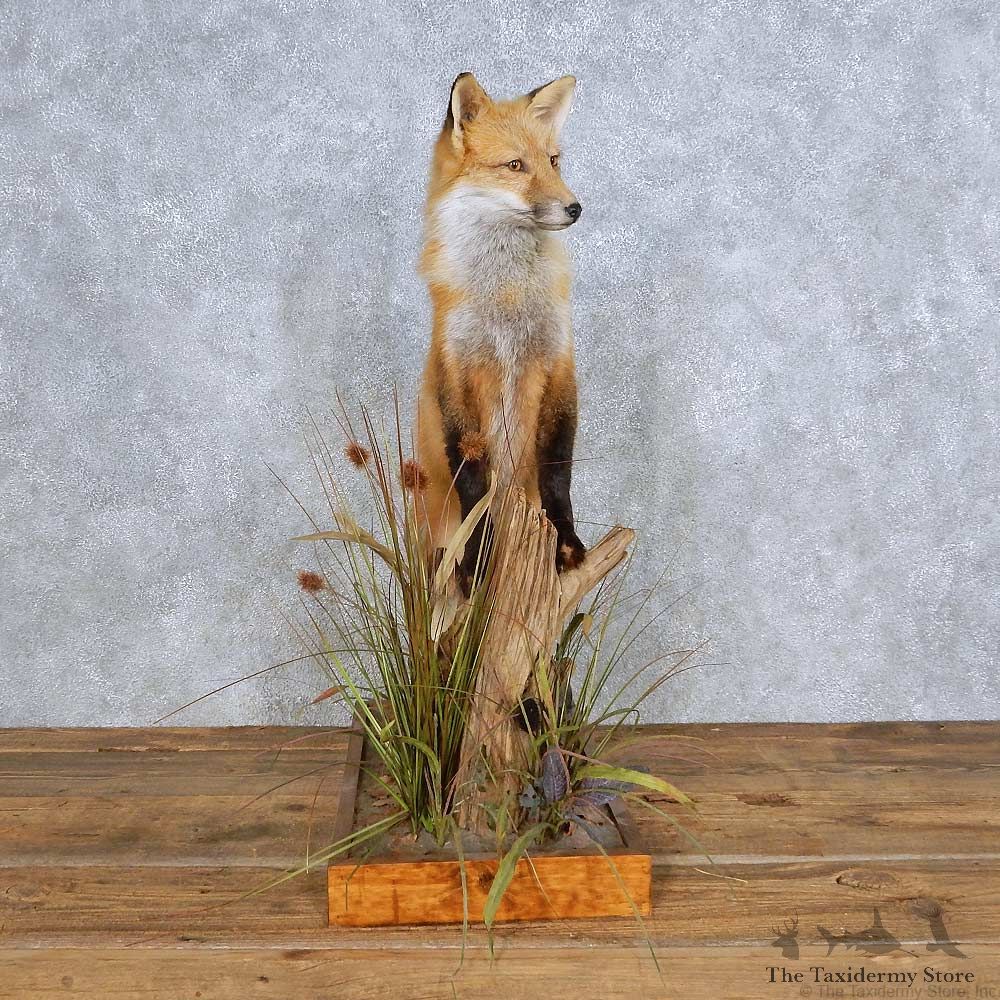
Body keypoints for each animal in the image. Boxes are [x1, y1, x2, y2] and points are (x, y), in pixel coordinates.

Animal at [416, 72, 586, 586]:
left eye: (553, 161)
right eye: (515, 165)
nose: (576, 208)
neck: (508, 298)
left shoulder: (558, 364)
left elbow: (557, 471)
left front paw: (567, 541)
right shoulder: (455, 372)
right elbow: (473, 483)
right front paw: (478, 555)